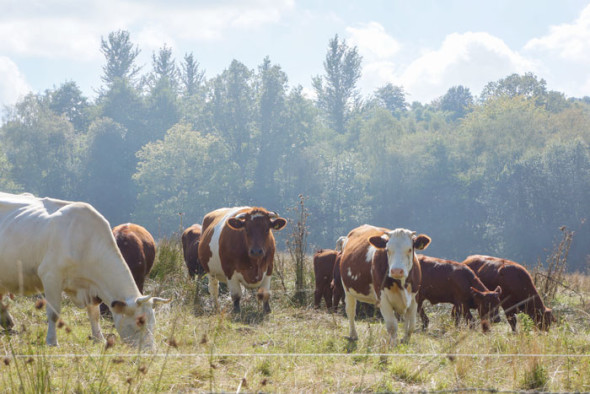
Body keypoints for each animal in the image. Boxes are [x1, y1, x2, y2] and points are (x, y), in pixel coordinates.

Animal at [0, 192, 171, 346]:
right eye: (139, 322)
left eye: (153, 322)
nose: (150, 350)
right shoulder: (51, 276)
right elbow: (54, 313)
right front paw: (52, 341)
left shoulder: (90, 288)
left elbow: (94, 314)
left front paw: (99, 338)